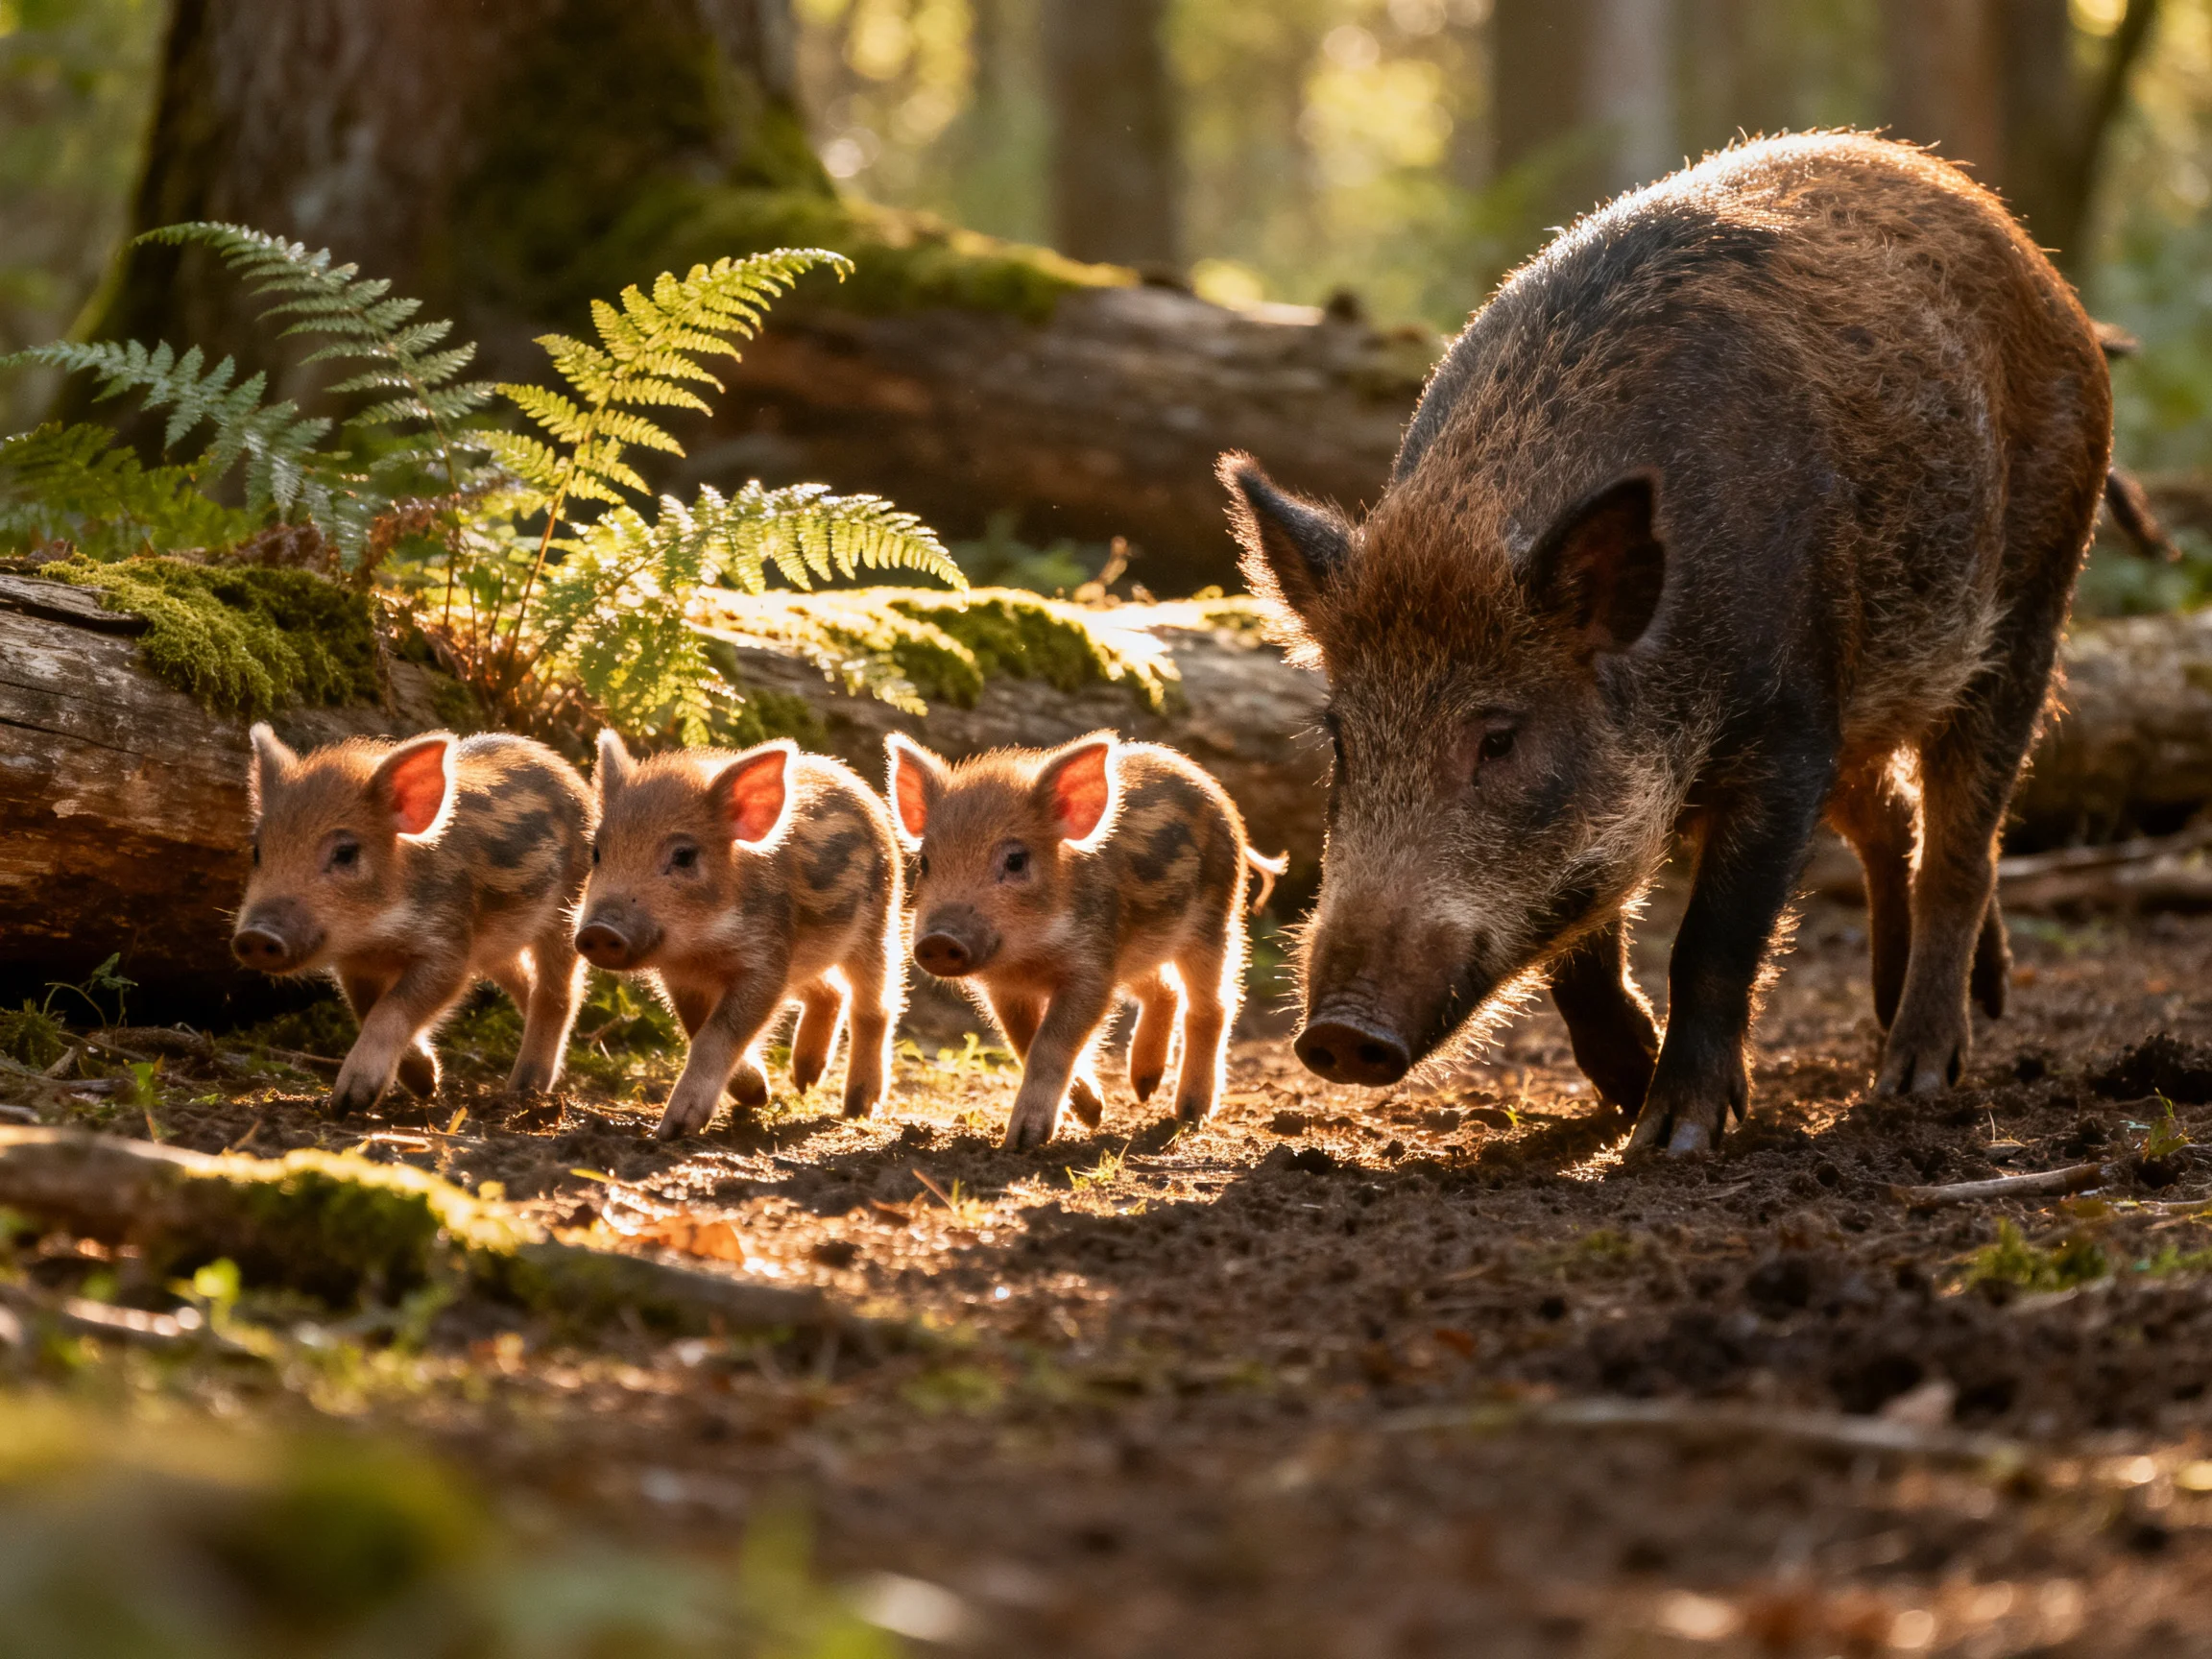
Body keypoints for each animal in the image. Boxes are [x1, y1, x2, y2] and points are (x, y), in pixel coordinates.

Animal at [232, 726, 592, 1116]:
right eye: (257, 851)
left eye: (346, 853)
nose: (254, 935)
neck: (375, 936)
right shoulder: (355, 966)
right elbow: (367, 1008)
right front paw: (427, 1083)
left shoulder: (448, 946)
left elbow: (395, 1007)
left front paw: (350, 1100)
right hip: (501, 945)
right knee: (527, 984)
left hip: (568, 911)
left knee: (559, 994)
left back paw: (525, 1088)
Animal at [574, 732, 903, 1139]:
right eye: (597, 852)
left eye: (684, 856)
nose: (598, 930)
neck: (700, 948)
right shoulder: (684, 980)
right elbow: (697, 1028)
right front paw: (759, 1095)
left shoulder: (765, 961)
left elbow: (716, 1035)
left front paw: (673, 1129)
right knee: (831, 991)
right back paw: (805, 1080)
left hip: (879, 926)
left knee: (875, 1006)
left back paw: (857, 1106)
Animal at [886, 731, 1283, 1150]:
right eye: (925, 862)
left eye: (1016, 860)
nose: (937, 939)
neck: (1028, 958)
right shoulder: (1008, 989)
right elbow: (1024, 1041)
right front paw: (1093, 1115)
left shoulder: (1090, 968)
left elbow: (1051, 1043)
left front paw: (1024, 1141)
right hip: (1137, 951)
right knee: (1165, 989)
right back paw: (1144, 1086)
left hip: (1216, 921)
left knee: (1213, 1005)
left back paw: (1189, 1113)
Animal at [1219, 133, 2115, 1152]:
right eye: (1341, 741)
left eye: (1500, 738)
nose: (1335, 1034)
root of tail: (2033, 259)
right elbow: (1577, 958)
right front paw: (1632, 1093)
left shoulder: (1788, 729)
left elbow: (1713, 940)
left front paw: (1674, 1136)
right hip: (1869, 697)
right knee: (1893, 820)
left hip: (2033, 600)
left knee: (1962, 840)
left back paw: (1914, 1079)